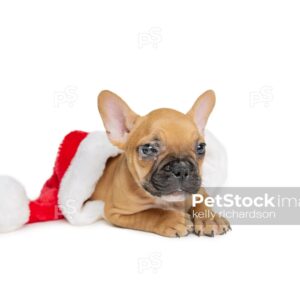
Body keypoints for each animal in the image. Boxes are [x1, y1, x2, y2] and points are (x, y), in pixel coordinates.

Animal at [90, 90, 231, 238]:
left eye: (200, 147)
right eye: (148, 149)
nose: (182, 169)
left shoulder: (200, 190)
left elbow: (202, 202)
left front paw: (210, 219)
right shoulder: (116, 212)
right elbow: (149, 213)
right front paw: (173, 219)